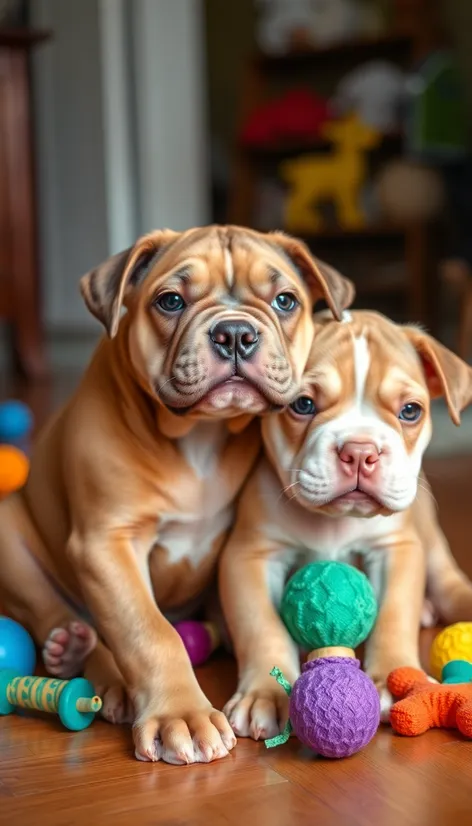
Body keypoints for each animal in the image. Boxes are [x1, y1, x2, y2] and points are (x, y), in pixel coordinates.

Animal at [0, 225, 354, 768]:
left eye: (285, 300)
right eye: (170, 301)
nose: (236, 332)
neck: (198, 433)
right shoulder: (106, 545)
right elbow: (148, 632)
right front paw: (180, 716)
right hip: (11, 538)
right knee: (53, 613)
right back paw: (78, 653)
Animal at [221, 310, 472, 740]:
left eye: (410, 411)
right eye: (302, 404)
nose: (359, 450)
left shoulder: (396, 550)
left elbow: (394, 615)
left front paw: (391, 679)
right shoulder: (249, 556)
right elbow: (262, 626)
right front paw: (264, 695)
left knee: (447, 582)